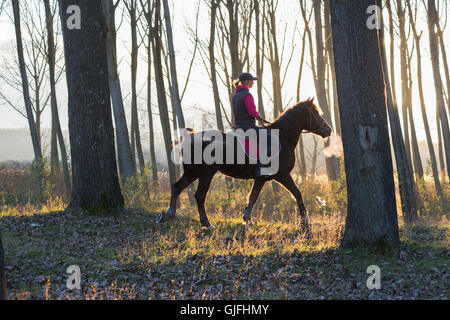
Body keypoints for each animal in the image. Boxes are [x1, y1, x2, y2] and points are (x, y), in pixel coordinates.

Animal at [156, 98, 332, 232]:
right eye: (315, 113)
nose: (329, 130)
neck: (282, 137)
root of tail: (190, 137)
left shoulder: (261, 178)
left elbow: (253, 196)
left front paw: (247, 219)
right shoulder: (282, 175)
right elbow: (297, 193)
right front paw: (305, 221)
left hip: (192, 173)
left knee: (176, 187)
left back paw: (168, 214)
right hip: (205, 174)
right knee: (199, 195)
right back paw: (206, 223)